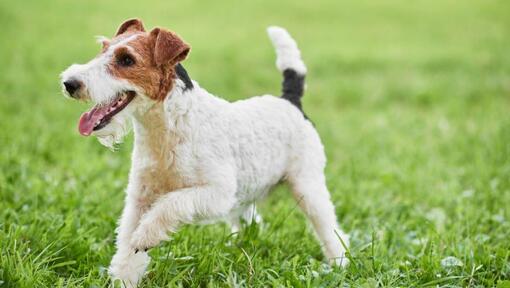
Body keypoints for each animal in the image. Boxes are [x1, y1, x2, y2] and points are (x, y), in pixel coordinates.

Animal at [58, 19, 346, 286]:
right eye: (103, 48)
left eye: (127, 59)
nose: (69, 83)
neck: (167, 127)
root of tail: (290, 101)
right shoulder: (140, 197)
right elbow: (128, 246)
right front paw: (123, 277)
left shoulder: (216, 193)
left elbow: (169, 205)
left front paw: (146, 236)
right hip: (247, 193)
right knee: (252, 223)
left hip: (307, 186)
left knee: (332, 231)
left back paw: (339, 264)